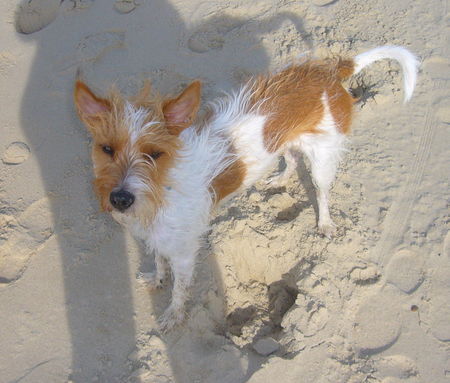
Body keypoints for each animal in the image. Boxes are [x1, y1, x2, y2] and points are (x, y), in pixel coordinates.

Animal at [74, 45, 418, 332]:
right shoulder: (158, 236)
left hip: (322, 157)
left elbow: (180, 289)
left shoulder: (184, 251)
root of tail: (330, 71)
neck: (164, 187)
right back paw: (279, 179)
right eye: (107, 149)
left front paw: (173, 316)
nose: (120, 199)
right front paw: (157, 280)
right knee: (291, 158)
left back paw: (325, 223)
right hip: (284, 140)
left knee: (321, 191)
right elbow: (159, 262)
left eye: (155, 154)